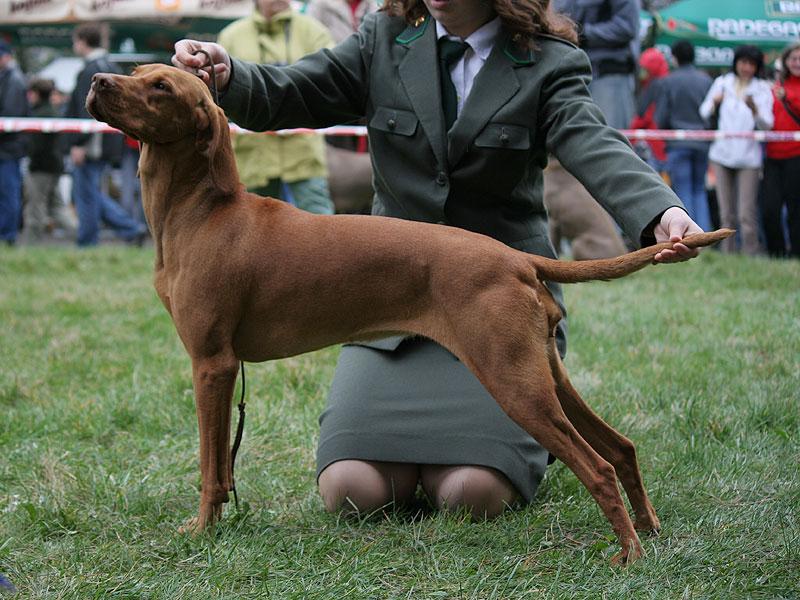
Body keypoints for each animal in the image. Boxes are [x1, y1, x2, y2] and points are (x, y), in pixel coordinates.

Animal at [86, 64, 732, 564]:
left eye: (162, 85)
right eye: (138, 72)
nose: (96, 80)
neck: (200, 213)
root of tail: (514, 257)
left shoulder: (211, 363)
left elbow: (209, 464)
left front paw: (202, 532)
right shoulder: (220, 366)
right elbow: (220, 464)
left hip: (513, 383)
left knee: (595, 466)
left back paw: (628, 554)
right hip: (543, 372)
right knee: (620, 447)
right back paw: (648, 530)